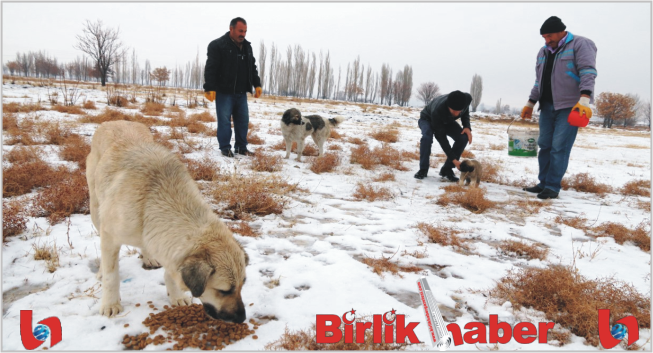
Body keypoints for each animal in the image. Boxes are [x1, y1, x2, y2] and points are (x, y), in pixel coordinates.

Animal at [86, 121, 247, 322]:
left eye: (242, 285)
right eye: (224, 291)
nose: (242, 318)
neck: (152, 201)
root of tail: (113, 121)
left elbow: (171, 273)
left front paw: (176, 296)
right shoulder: (110, 236)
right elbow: (111, 276)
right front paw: (110, 304)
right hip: (96, 211)